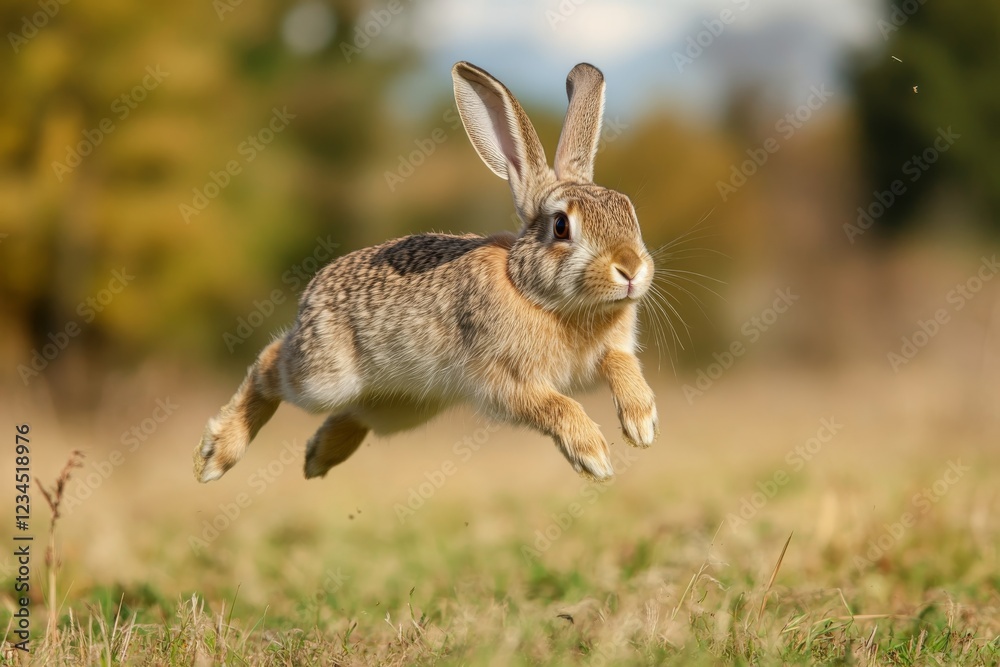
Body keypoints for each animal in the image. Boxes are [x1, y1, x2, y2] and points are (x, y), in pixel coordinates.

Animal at [193, 61, 658, 484]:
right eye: (561, 226)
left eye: (629, 210)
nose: (631, 270)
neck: (536, 294)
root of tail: (310, 297)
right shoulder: (508, 381)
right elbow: (557, 406)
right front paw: (593, 455)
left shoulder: (608, 352)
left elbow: (621, 365)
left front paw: (642, 424)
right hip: (325, 378)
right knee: (269, 366)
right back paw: (216, 456)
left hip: (408, 403)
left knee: (357, 413)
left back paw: (319, 456)